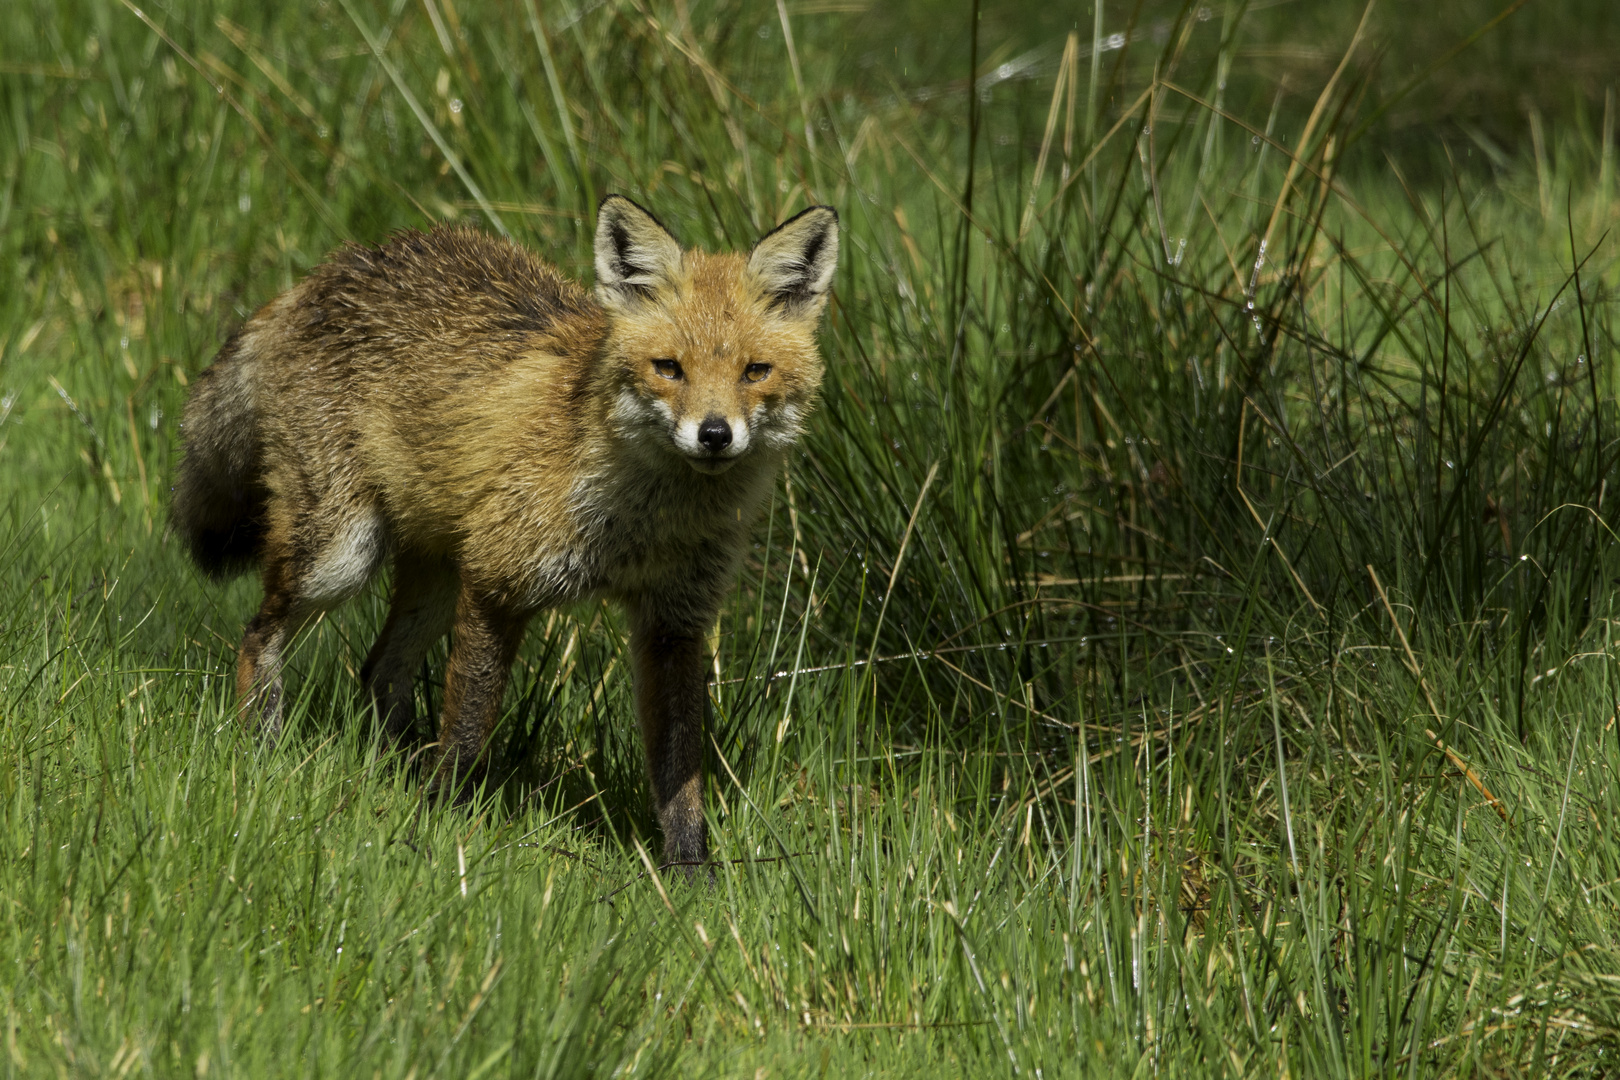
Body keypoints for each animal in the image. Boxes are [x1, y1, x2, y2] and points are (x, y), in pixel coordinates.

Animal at [170, 196, 842, 867]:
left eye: (755, 371)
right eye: (669, 369)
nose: (714, 434)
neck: (640, 526)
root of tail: (327, 272)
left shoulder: (673, 620)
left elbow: (680, 772)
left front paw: (689, 874)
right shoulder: (497, 585)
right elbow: (468, 732)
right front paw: (437, 829)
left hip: (437, 574)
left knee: (379, 670)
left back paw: (391, 773)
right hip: (340, 555)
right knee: (258, 637)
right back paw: (262, 750)